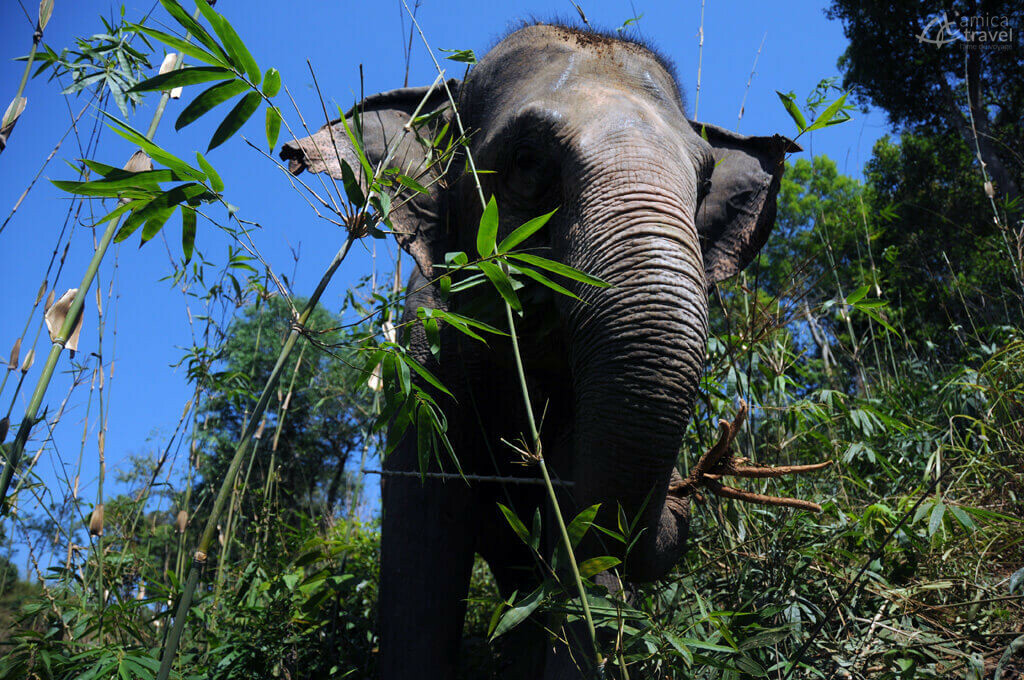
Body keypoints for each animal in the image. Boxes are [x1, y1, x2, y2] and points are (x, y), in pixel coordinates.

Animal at [281, 22, 825, 679]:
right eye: (526, 161)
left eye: (702, 184)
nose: (682, 496)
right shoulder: (422, 361)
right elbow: (426, 529)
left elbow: (582, 523)